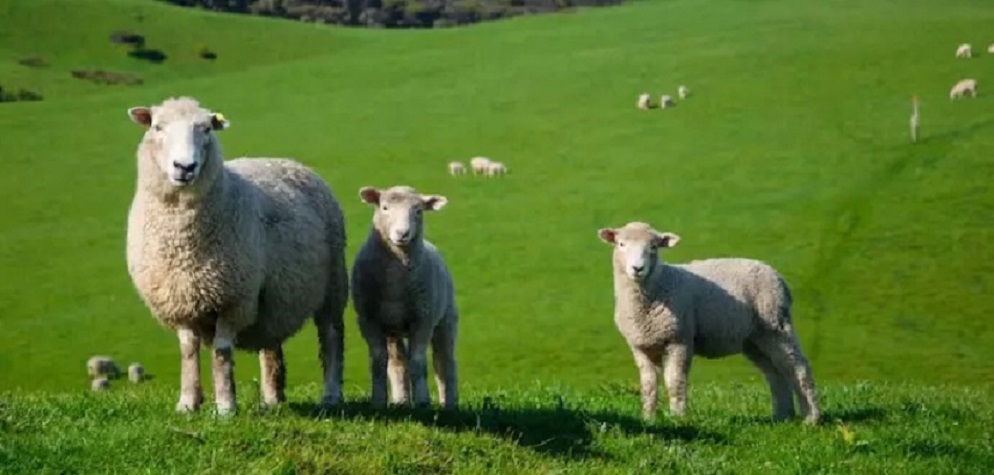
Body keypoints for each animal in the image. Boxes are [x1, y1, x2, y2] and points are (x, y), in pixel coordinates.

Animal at [124, 96, 348, 416]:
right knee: (271, 344)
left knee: (331, 336)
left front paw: (226, 406)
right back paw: (272, 399)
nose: (185, 167)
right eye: (157, 127)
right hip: (273, 298)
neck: (182, 244)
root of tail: (286, 161)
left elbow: (222, 352)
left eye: (206, 129)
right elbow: (188, 350)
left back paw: (331, 394)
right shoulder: (178, 299)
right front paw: (188, 402)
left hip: (333, 283)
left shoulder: (232, 299)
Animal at [350, 186, 460, 410]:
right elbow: (379, 360)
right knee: (398, 361)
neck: (396, 281)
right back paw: (401, 400)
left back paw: (449, 403)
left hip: (445, 319)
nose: (402, 234)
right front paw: (378, 401)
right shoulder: (368, 319)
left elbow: (418, 361)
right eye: (384, 207)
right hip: (393, 328)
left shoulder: (423, 318)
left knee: (444, 361)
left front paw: (423, 402)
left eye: (418, 211)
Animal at [592, 221, 816, 426]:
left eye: (654, 247)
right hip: (755, 338)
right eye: (621, 244)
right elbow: (648, 384)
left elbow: (675, 381)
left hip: (776, 324)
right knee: (775, 372)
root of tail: (778, 277)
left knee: (798, 367)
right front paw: (649, 419)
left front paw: (678, 418)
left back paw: (811, 418)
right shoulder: (641, 346)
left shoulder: (680, 339)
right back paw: (782, 416)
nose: (637, 268)